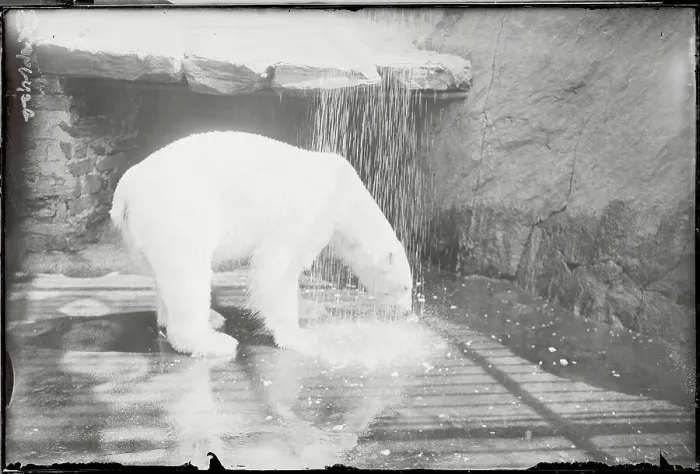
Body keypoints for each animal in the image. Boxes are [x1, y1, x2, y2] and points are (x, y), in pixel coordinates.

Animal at [110, 131, 413, 357]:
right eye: (406, 287)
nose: (407, 311)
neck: (344, 191)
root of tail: (126, 188)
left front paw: (310, 308)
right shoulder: (306, 211)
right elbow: (276, 266)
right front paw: (299, 338)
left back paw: (207, 318)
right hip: (179, 212)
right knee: (188, 273)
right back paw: (212, 341)